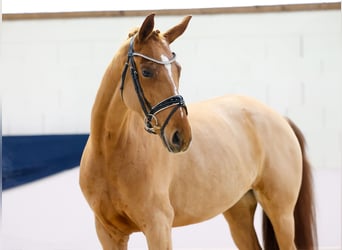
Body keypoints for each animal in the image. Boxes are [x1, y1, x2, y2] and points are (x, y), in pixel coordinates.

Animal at [79, 14, 316, 250]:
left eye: (178, 69)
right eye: (146, 72)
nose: (181, 136)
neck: (109, 153)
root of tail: (280, 118)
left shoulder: (158, 228)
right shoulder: (109, 233)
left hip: (281, 213)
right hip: (238, 211)